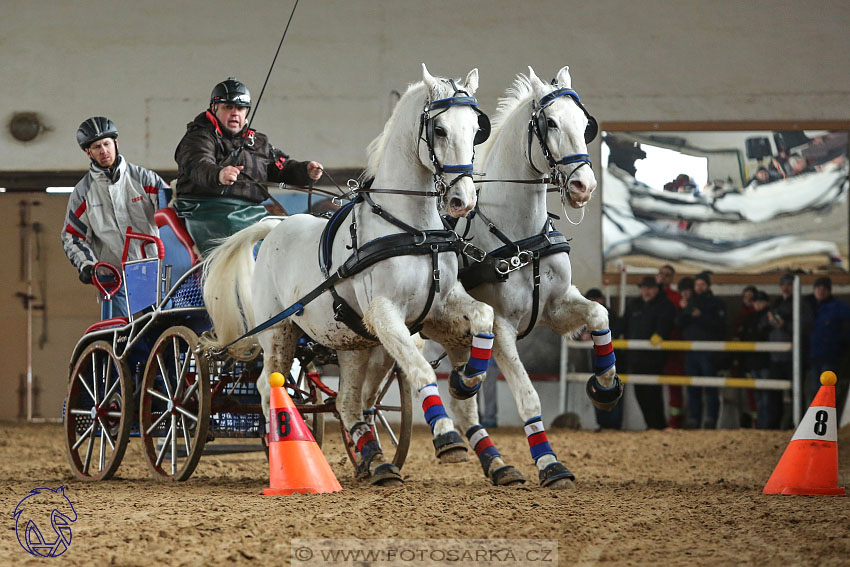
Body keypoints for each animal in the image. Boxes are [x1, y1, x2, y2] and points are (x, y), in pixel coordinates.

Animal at [201, 65, 494, 484]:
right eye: (439, 129)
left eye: (475, 128)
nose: (462, 201)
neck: (412, 229)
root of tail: (274, 226)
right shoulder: (384, 313)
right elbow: (419, 368)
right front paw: (447, 436)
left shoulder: (437, 305)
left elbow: (484, 316)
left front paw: (467, 378)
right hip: (278, 331)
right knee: (267, 383)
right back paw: (279, 450)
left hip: (350, 341)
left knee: (347, 400)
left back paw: (374, 457)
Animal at [444, 66, 624, 488]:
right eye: (551, 123)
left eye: (585, 124)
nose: (584, 186)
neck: (519, 236)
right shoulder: (501, 328)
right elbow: (529, 397)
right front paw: (549, 463)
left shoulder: (555, 308)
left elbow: (599, 314)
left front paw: (605, 385)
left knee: (462, 404)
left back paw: (496, 463)